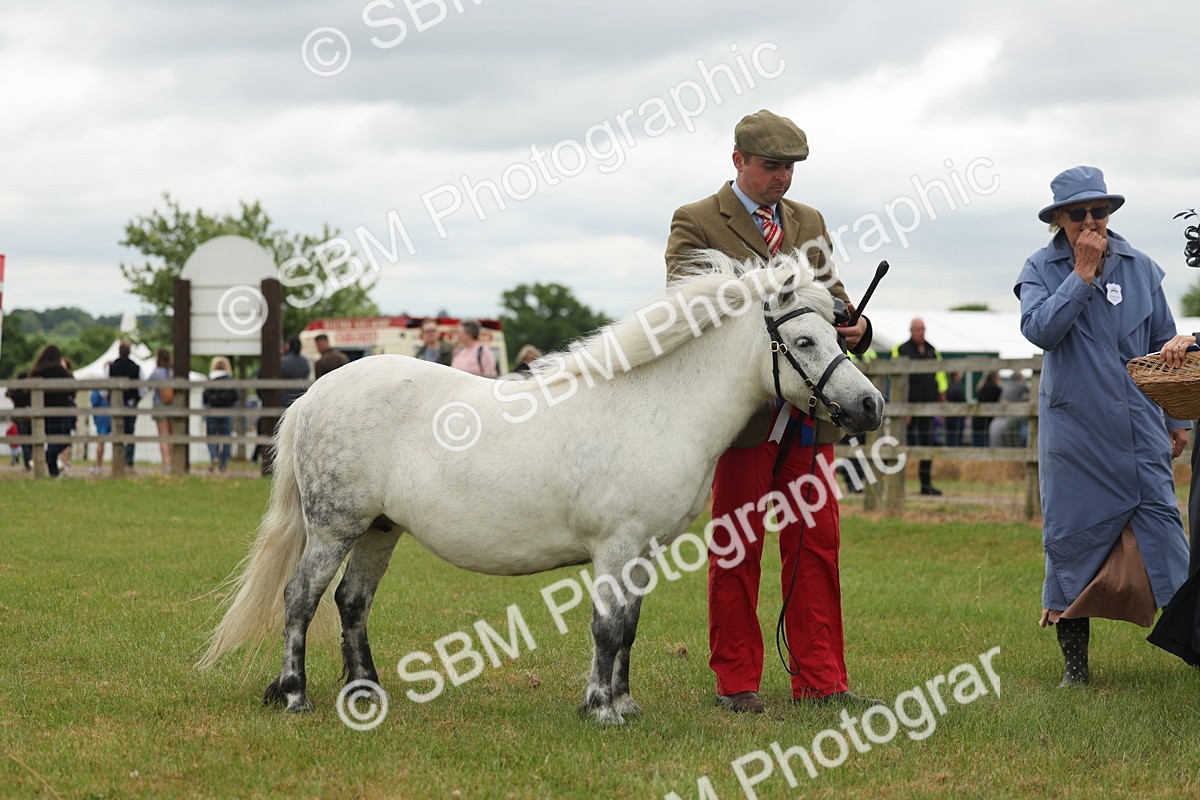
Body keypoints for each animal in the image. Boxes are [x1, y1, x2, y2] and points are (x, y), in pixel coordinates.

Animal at [198, 249, 885, 726]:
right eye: (803, 340)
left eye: (840, 334)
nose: (871, 406)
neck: (655, 407)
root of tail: (317, 392)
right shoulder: (616, 546)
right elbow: (608, 626)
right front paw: (602, 709)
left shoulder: (643, 552)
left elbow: (629, 626)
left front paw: (623, 704)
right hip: (335, 525)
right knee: (301, 599)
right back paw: (295, 696)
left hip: (379, 530)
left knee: (351, 603)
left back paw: (367, 693)